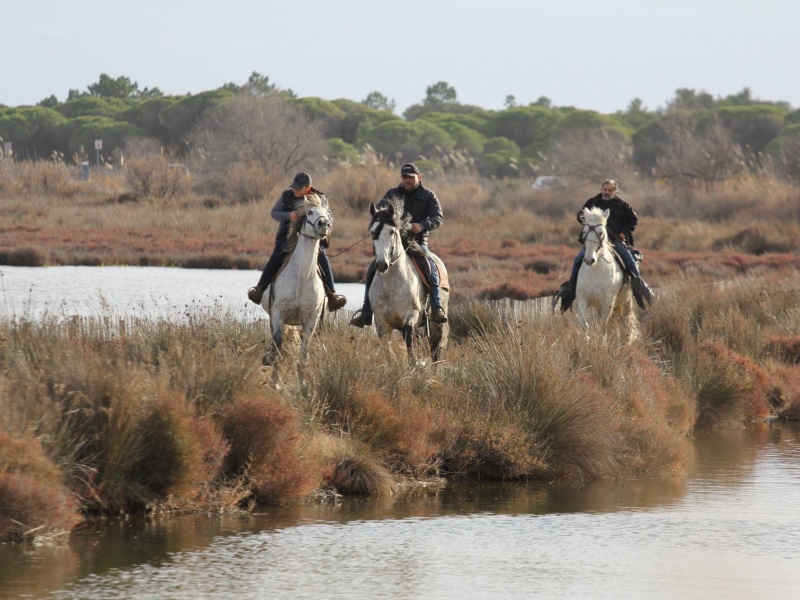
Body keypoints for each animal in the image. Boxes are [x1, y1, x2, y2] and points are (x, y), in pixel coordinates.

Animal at [262, 193, 332, 384]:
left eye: (328, 214)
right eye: (309, 212)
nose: (324, 224)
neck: (302, 276)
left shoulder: (311, 320)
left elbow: (304, 350)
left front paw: (302, 384)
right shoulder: (278, 313)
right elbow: (278, 341)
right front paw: (274, 378)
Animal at [576, 209, 636, 344]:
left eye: (601, 232)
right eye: (584, 231)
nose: (589, 260)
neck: (596, 270)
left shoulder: (607, 303)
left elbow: (604, 326)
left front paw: (603, 344)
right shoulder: (583, 300)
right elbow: (584, 324)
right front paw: (586, 341)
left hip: (626, 302)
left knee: (625, 322)